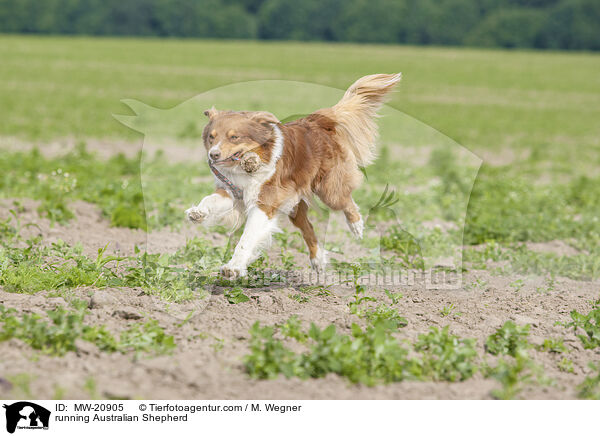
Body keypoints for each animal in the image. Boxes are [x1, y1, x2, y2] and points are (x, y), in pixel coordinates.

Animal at [185, 73, 400, 278]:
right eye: (211, 137)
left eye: (234, 137)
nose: (213, 154)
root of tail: (317, 120)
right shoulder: (232, 191)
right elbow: (211, 200)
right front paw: (198, 212)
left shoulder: (264, 203)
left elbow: (247, 238)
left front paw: (234, 268)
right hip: (294, 205)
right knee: (308, 227)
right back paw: (317, 260)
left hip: (327, 190)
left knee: (346, 201)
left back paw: (356, 226)